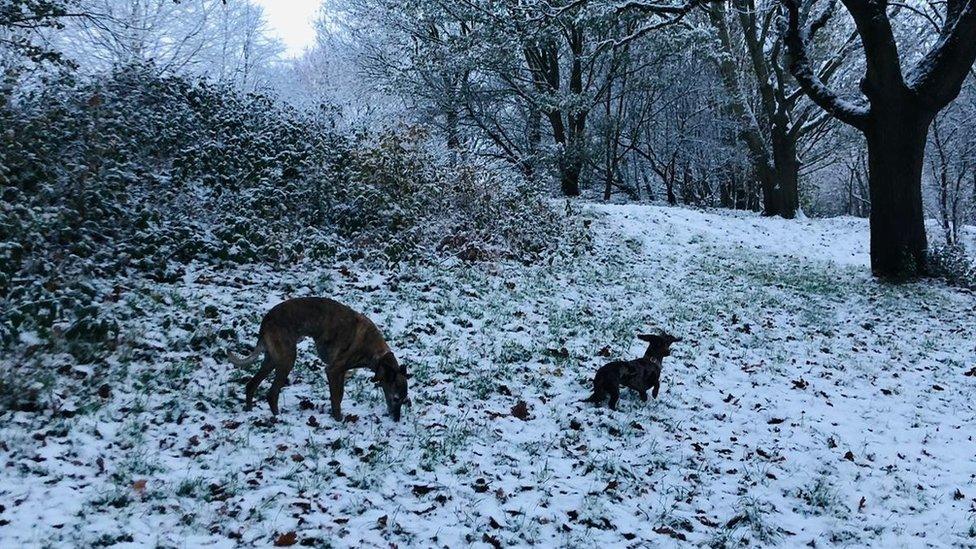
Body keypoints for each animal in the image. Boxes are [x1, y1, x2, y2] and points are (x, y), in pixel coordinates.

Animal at [228, 296, 408, 420]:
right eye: (396, 398)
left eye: (404, 399)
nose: (396, 420)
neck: (377, 352)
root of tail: (265, 321)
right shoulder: (333, 370)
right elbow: (337, 396)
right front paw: (338, 419)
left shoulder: (341, 372)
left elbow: (339, 394)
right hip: (287, 359)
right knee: (272, 393)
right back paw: (278, 417)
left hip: (272, 359)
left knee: (251, 385)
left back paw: (249, 411)